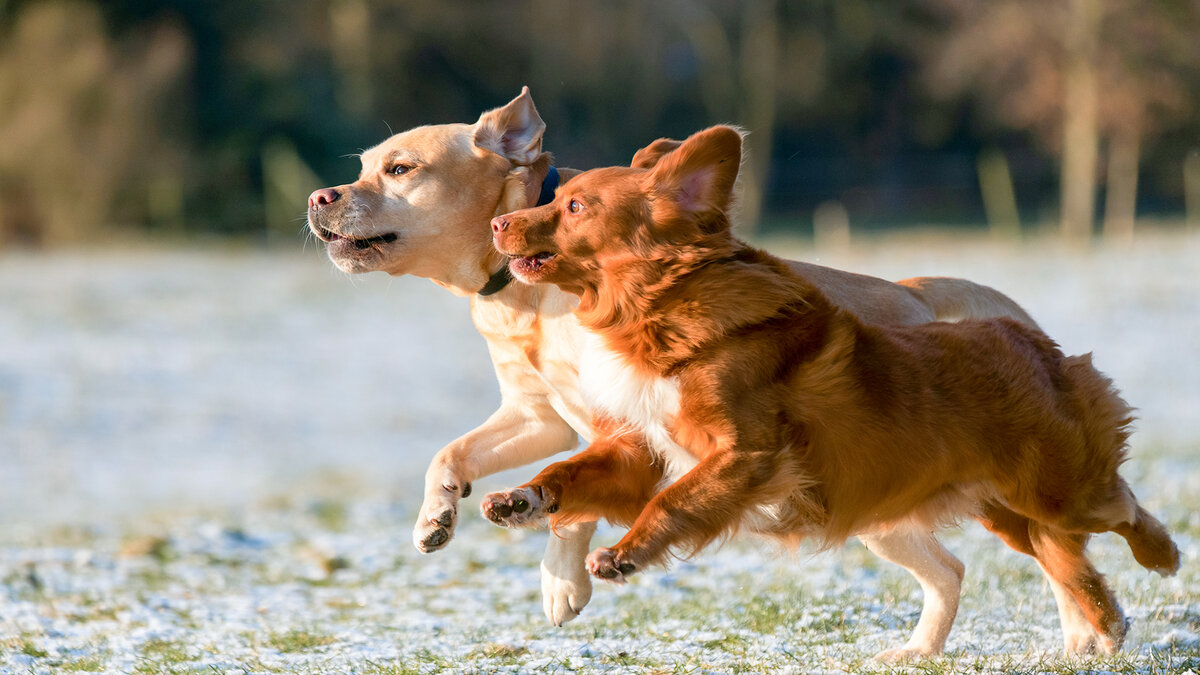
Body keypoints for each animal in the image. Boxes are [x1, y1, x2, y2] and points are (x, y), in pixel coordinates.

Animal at [482, 123, 1176, 653]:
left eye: (574, 207)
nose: (497, 222)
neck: (657, 310)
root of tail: (1031, 341)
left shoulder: (745, 453)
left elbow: (675, 503)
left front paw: (624, 552)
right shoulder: (644, 450)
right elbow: (573, 470)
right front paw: (521, 498)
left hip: (1057, 492)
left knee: (1122, 508)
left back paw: (1161, 557)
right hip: (1000, 510)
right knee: (1050, 566)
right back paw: (1067, 631)